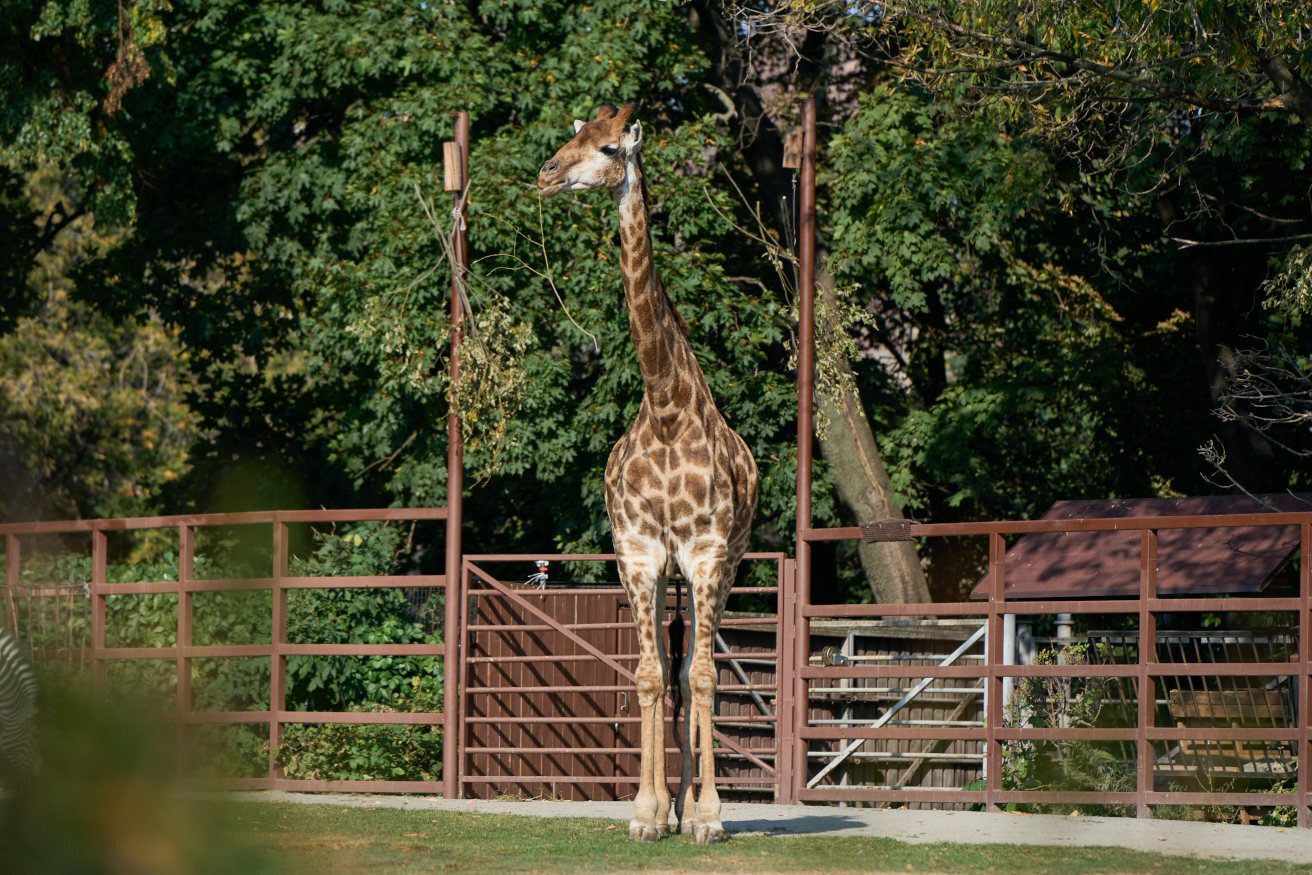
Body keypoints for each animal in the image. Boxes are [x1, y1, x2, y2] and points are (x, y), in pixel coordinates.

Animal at [538, 103, 758, 844]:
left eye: (609, 148)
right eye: (573, 136)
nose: (546, 174)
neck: (665, 409)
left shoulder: (707, 551)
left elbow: (704, 677)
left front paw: (709, 816)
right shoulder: (637, 551)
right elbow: (647, 676)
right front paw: (645, 812)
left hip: (722, 564)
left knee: (696, 669)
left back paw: (694, 811)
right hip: (667, 571)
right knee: (671, 667)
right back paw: (671, 809)